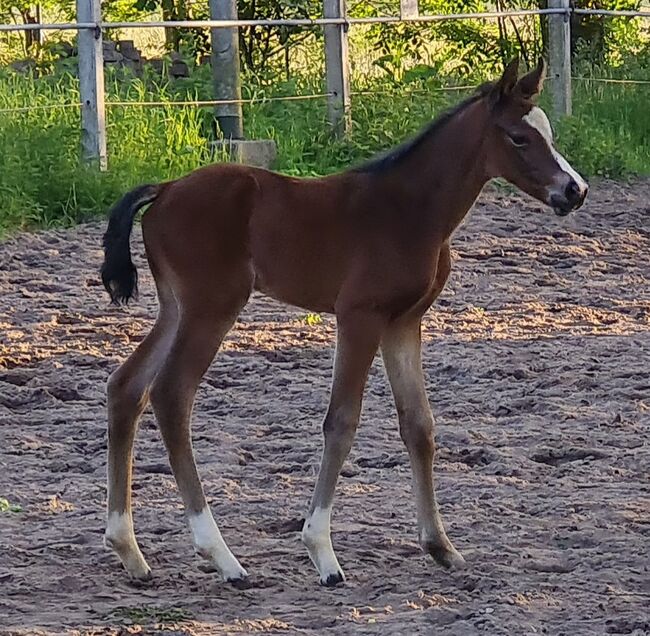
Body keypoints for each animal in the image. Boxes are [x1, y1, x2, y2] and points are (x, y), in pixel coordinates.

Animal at [101, 57, 588, 588]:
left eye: (547, 132)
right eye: (518, 137)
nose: (575, 190)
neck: (408, 209)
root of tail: (165, 190)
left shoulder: (404, 322)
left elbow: (418, 424)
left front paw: (440, 546)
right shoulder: (360, 316)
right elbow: (342, 421)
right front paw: (322, 553)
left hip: (176, 307)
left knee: (127, 387)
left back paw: (129, 551)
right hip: (212, 308)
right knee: (173, 395)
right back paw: (223, 557)